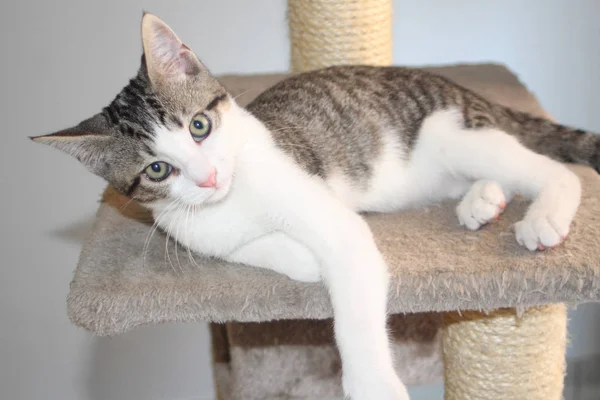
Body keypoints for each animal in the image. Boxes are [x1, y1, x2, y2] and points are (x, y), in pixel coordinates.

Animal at [34, 14, 600, 400]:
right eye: (157, 170)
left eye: (199, 125)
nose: (207, 177)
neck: (232, 196)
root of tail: (458, 86)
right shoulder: (192, 231)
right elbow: (243, 247)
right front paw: (301, 259)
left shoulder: (328, 213)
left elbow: (350, 282)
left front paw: (372, 383)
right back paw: (483, 201)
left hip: (454, 135)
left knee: (556, 170)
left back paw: (542, 215)